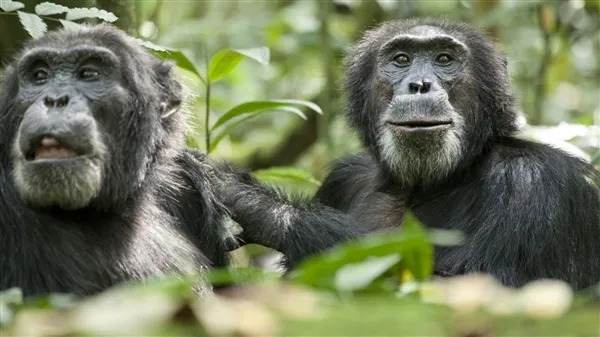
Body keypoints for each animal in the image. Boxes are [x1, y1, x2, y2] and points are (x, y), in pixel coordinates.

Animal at [312, 17, 600, 288]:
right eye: (401, 59)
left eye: (444, 59)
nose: (420, 84)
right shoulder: (344, 178)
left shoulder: (531, 181)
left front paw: (306, 226)